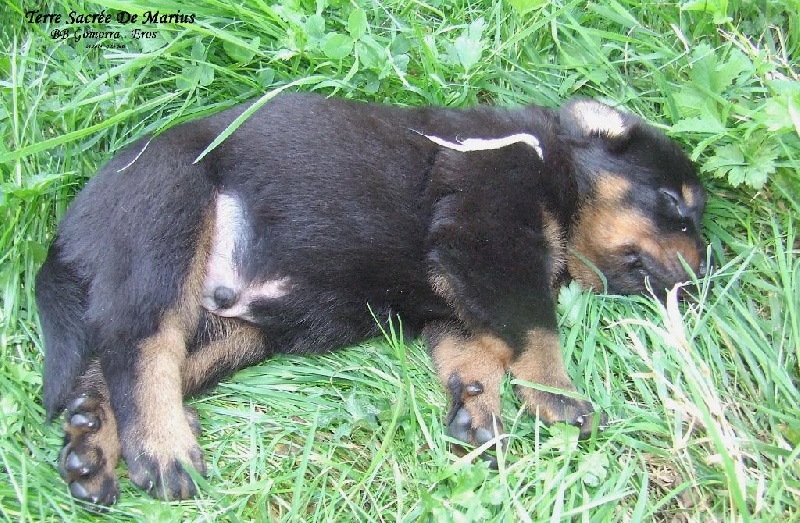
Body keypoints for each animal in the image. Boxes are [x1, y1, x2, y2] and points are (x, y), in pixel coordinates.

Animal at [34, 93, 708, 504]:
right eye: (676, 206)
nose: (701, 279)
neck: (555, 167)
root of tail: (68, 231)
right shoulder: (488, 234)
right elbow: (536, 328)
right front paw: (561, 399)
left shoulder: (456, 297)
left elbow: (479, 348)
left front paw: (477, 408)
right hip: (170, 217)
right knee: (139, 344)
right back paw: (162, 448)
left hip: (237, 330)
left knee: (117, 367)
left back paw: (91, 444)